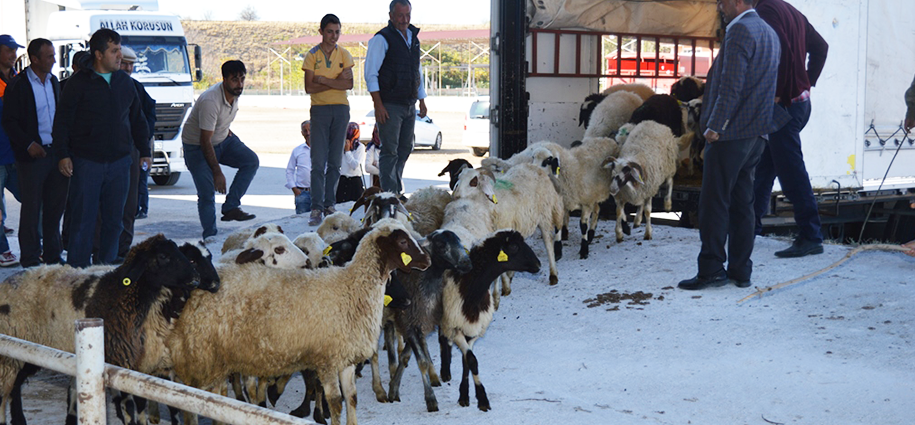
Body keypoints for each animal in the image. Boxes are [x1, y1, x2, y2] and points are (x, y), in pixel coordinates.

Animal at [0, 234, 201, 424]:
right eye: (163, 256)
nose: (195, 277)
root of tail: (8, 280)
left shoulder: (147, 363)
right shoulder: (121, 360)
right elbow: (130, 408)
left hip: (28, 351)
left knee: (15, 384)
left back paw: (19, 419)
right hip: (13, 349)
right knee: (6, 389)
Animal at [166, 219, 432, 424]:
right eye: (403, 242)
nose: (427, 260)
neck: (352, 288)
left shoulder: (345, 357)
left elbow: (351, 398)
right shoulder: (326, 360)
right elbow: (335, 402)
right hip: (205, 359)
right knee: (195, 400)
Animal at [386, 229, 472, 410]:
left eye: (459, 241)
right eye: (440, 245)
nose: (467, 263)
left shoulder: (420, 322)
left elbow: (406, 357)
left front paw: (394, 388)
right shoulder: (408, 323)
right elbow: (422, 362)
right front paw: (431, 400)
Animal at [438, 229, 540, 410]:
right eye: (514, 246)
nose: (539, 265)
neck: (471, 287)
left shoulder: (474, 328)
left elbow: (467, 360)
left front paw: (464, 395)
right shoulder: (457, 326)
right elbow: (472, 360)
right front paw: (482, 398)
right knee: (441, 337)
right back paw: (445, 371)